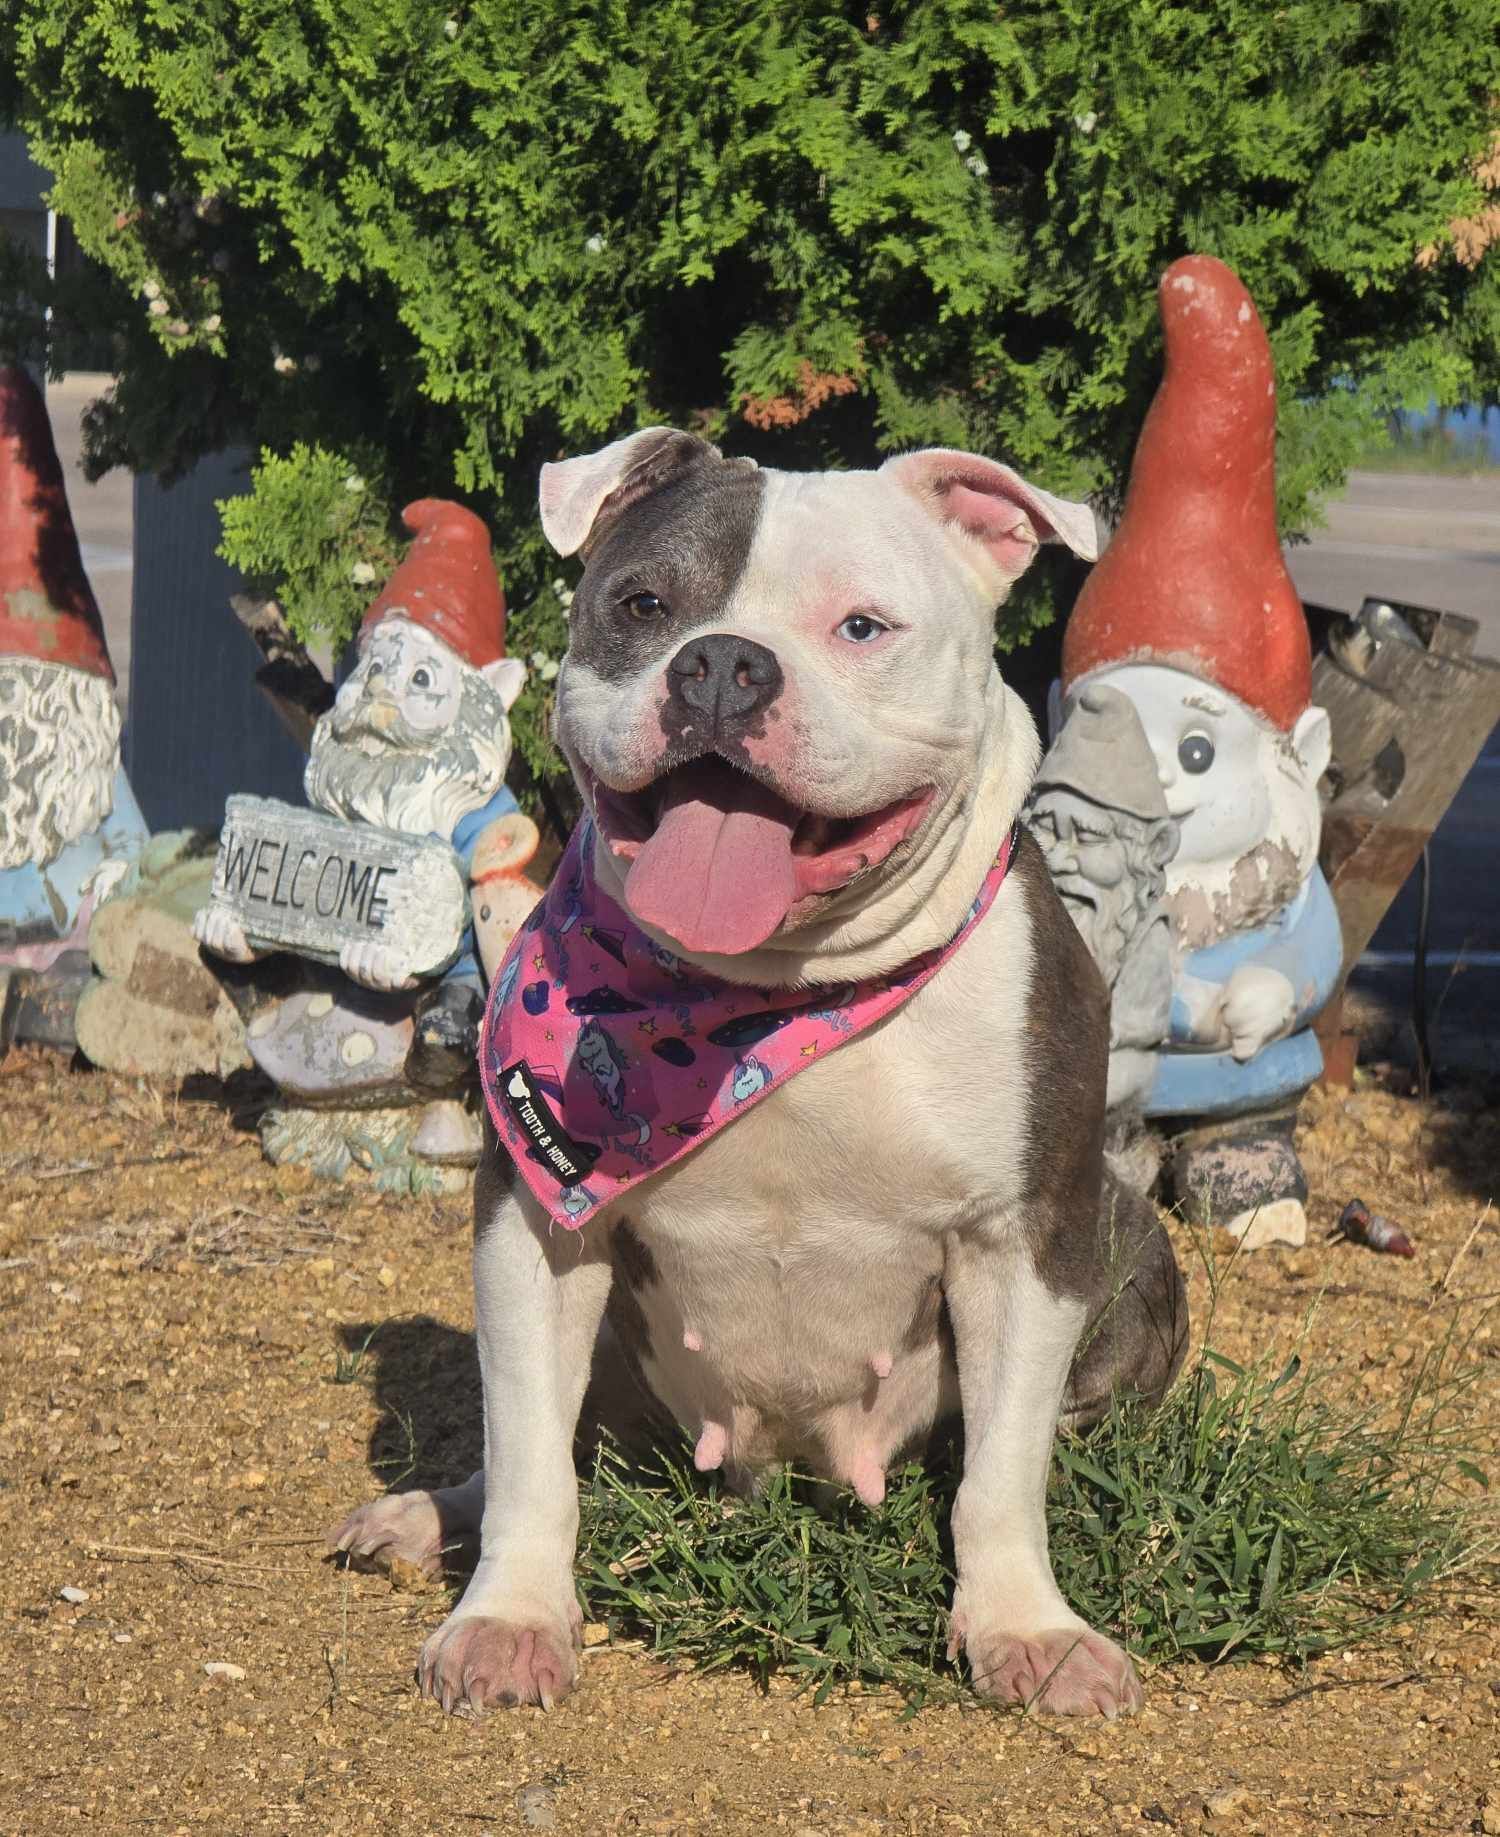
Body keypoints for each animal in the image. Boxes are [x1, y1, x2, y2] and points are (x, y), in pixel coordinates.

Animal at [334, 429, 1189, 1719]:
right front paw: (508, 1617)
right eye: (644, 604)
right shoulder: (537, 1215)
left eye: (862, 627)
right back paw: (436, 1517)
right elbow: (528, 1446)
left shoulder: (1026, 1234)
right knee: (546, 1442)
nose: (724, 665)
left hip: (1126, 1240)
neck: (773, 998)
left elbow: (1002, 1474)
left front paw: (1025, 1628)